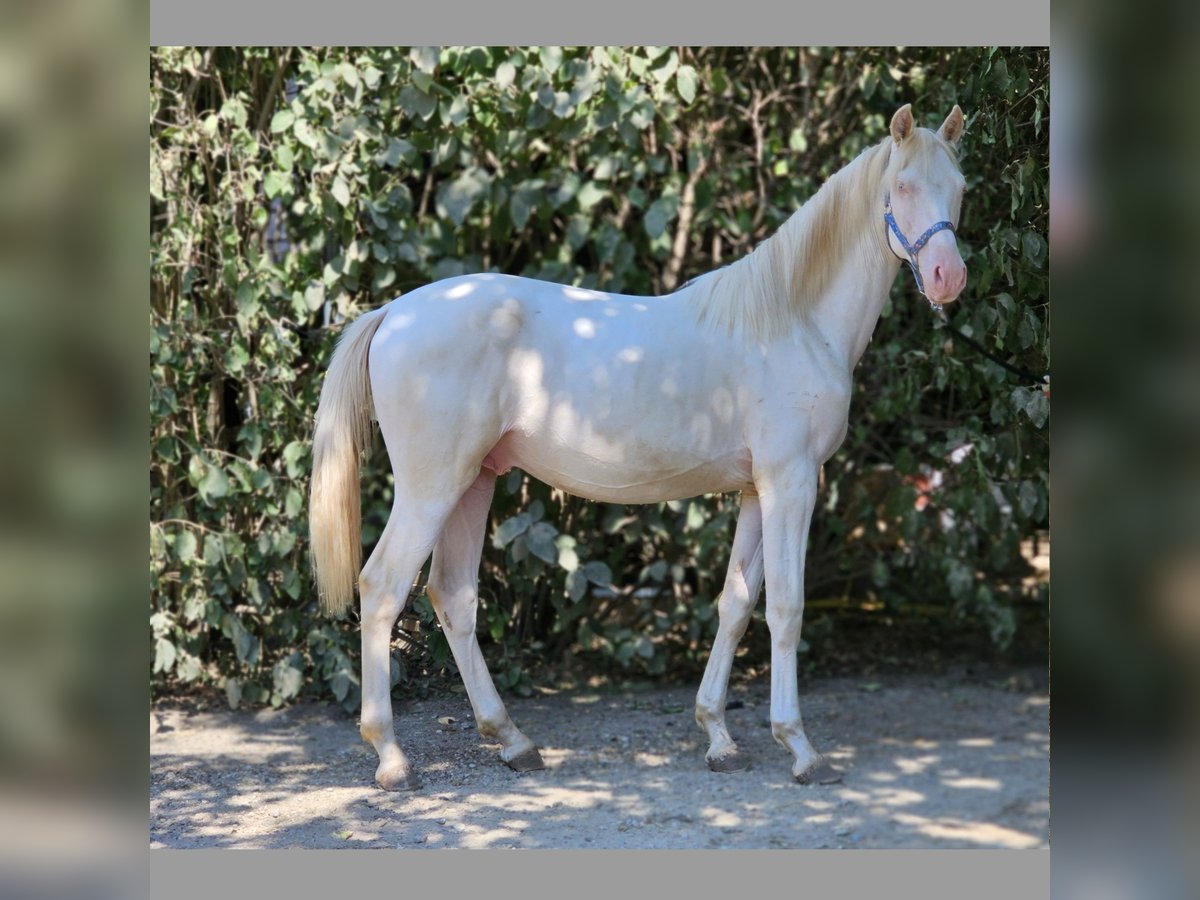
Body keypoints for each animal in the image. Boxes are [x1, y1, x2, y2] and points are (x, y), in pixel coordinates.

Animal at [309, 103, 964, 787]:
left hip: (475, 480)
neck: (795, 320)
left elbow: (736, 602)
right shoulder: (792, 482)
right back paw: (391, 756)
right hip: (431, 488)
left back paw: (513, 740)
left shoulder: (758, 490)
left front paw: (718, 736)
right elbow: (786, 607)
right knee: (383, 587)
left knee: (453, 596)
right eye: (905, 186)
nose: (948, 278)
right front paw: (801, 749)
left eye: (961, 189)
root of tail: (392, 313)